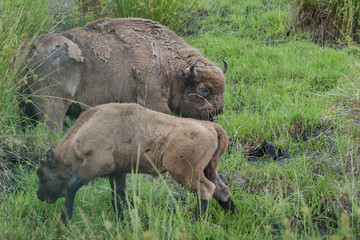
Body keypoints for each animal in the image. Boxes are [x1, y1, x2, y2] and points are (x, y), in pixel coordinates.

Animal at [17, 17, 228, 130]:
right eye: (204, 90)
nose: (217, 112)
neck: (165, 60)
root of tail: (29, 49)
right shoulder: (153, 100)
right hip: (52, 104)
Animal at [35, 102, 233, 222]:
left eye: (41, 174)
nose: (39, 195)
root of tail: (210, 126)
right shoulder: (116, 173)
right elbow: (118, 196)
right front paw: (123, 221)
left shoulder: (95, 165)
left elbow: (72, 185)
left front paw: (65, 218)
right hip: (208, 170)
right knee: (222, 190)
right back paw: (232, 214)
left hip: (185, 173)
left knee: (206, 190)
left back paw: (194, 220)